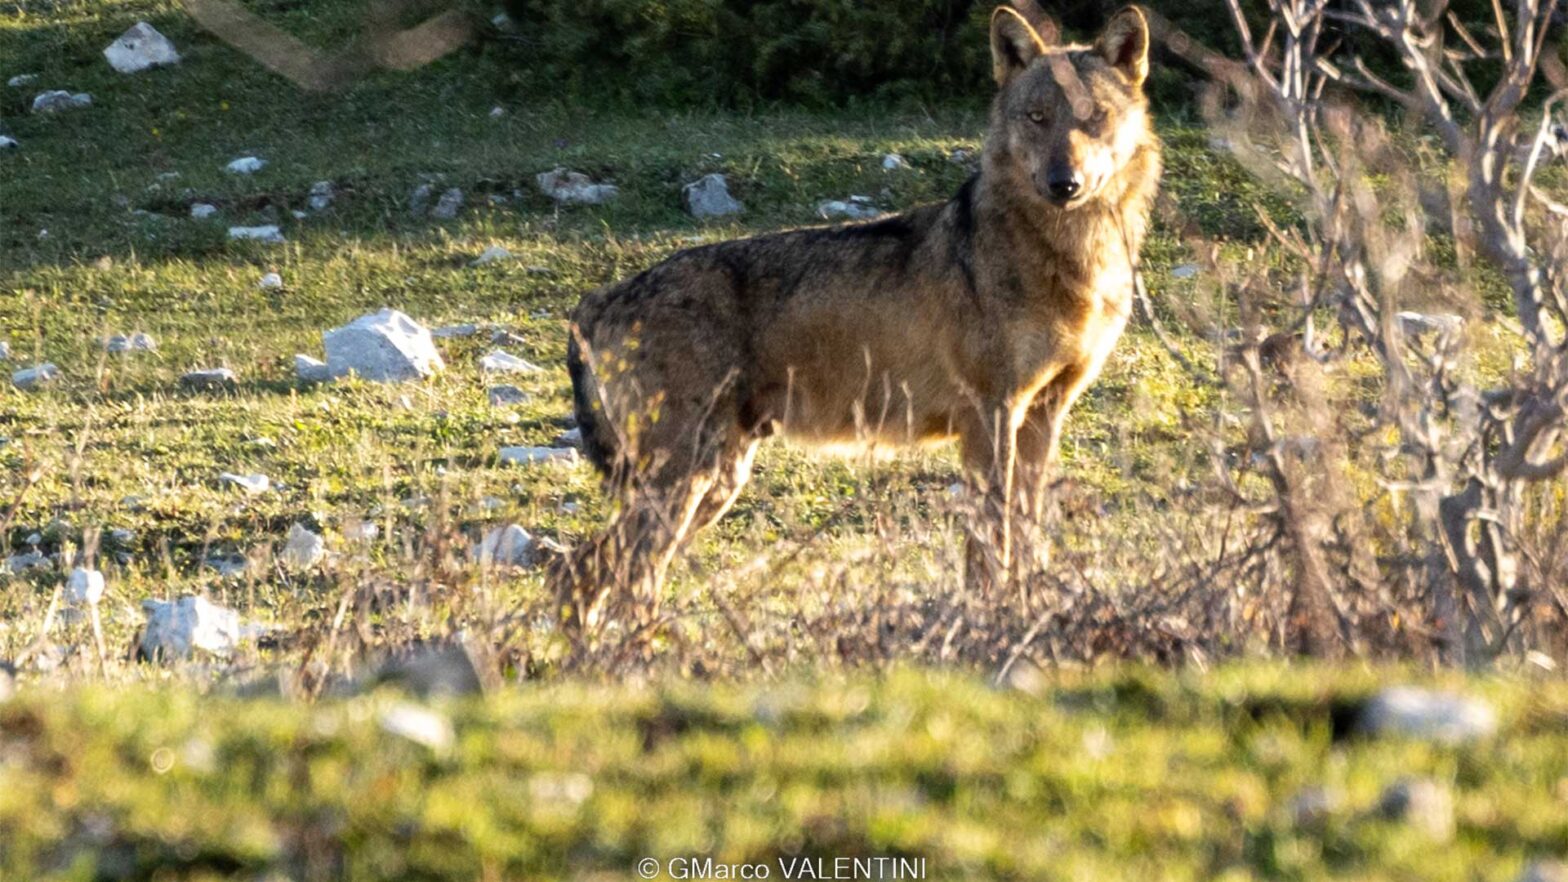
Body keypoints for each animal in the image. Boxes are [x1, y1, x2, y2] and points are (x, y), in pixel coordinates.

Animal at [558, 3, 1160, 618]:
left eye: (1095, 118)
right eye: (1037, 117)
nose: (1065, 183)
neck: (1068, 257)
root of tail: (598, 299)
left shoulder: (1043, 413)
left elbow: (1026, 533)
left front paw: (1027, 609)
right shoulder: (990, 415)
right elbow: (991, 542)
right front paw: (989, 614)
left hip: (715, 481)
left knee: (587, 570)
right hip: (686, 481)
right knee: (606, 573)